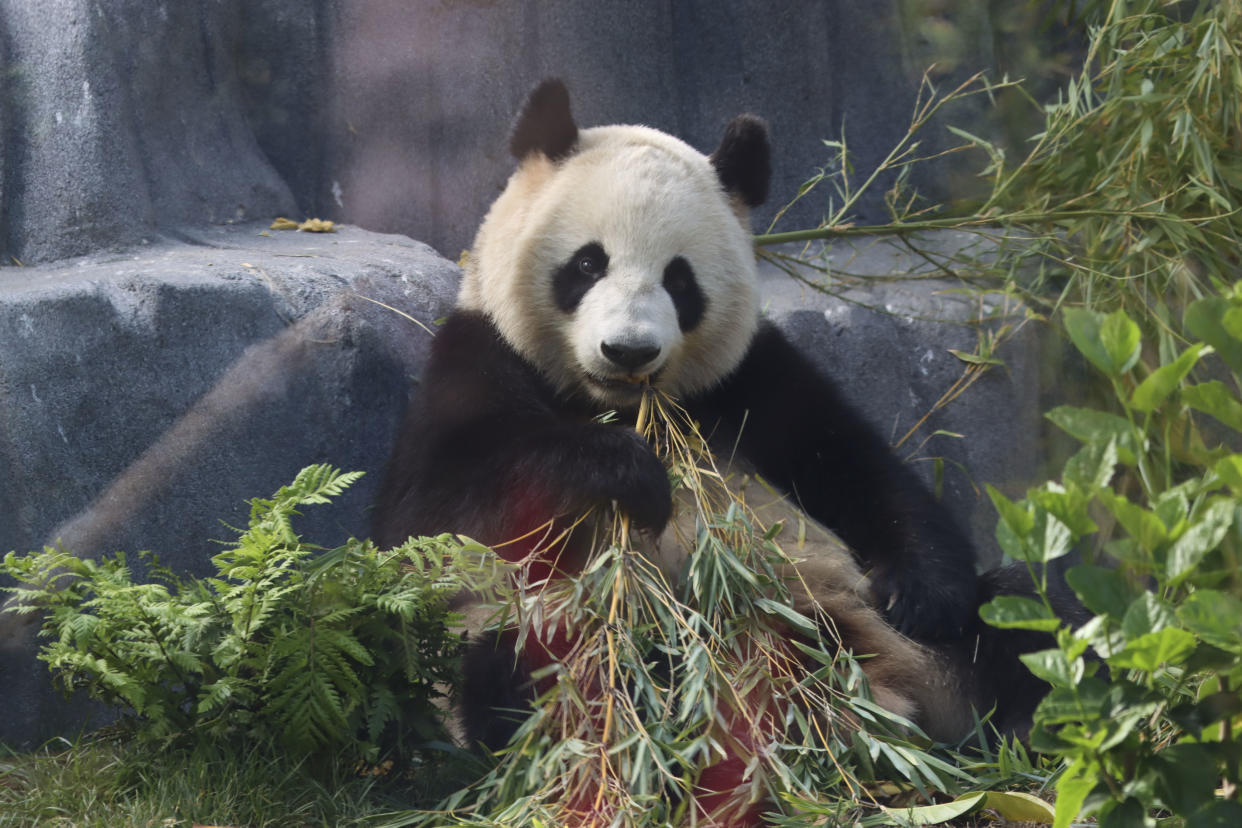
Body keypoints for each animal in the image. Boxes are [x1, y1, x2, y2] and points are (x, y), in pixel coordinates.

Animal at [370, 79, 1068, 828]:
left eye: (679, 280)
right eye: (587, 264)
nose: (629, 351)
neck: (620, 404)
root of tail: (885, 709)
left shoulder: (753, 383)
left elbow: (860, 471)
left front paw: (921, 593)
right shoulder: (475, 361)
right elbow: (432, 520)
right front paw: (623, 473)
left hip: (915, 647)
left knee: (1028, 615)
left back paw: (1032, 723)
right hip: (572, 653)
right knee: (540, 671)